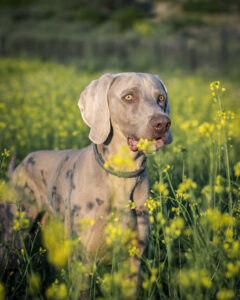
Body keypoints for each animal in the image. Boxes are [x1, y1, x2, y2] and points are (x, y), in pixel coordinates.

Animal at [0, 71, 172, 284]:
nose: (163, 124)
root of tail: (20, 165)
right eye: (128, 97)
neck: (121, 176)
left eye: (161, 98)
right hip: (14, 233)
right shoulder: (82, 260)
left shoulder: (133, 259)